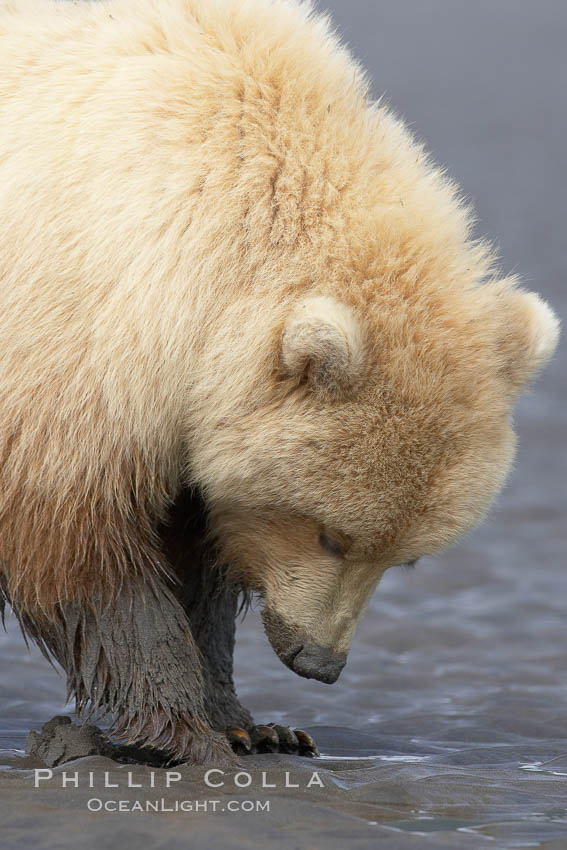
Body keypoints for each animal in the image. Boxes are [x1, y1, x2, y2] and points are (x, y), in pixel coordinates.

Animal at [0, 0, 560, 764]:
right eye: (330, 535)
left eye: (407, 557)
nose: (318, 661)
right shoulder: (80, 322)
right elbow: (82, 543)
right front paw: (183, 731)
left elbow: (195, 551)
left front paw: (253, 724)